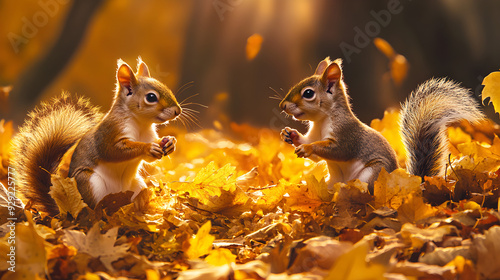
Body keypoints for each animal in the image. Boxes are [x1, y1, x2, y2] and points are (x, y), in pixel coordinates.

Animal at [11, 57, 182, 214]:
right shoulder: (109, 133)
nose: (177, 111)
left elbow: (149, 158)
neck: (141, 123)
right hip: (90, 183)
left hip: (137, 186)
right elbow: (113, 151)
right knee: (96, 211)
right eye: (151, 97)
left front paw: (170, 143)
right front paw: (147, 148)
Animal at [280, 57, 482, 192]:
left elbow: (338, 150)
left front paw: (307, 148)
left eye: (308, 93)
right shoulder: (314, 134)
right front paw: (290, 135)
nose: (282, 105)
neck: (322, 120)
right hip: (333, 181)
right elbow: (313, 151)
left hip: (374, 172)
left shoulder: (347, 134)